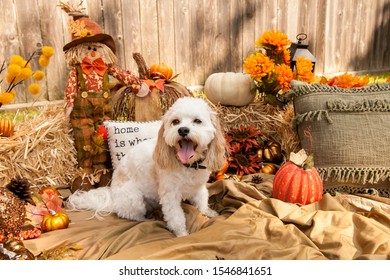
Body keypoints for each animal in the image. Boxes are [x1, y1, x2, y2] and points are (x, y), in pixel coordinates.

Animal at [66, 96, 225, 236]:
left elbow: (202, 200)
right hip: (135, 200)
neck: (188, 165)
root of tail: (112, 197)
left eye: (197, 121)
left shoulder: (198, 186)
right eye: (175, 122)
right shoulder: (170, 196)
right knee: (130, 215)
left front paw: (208, 212)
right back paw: (147, 219)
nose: (183, 130)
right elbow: (176, 218)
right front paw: (182, 234)